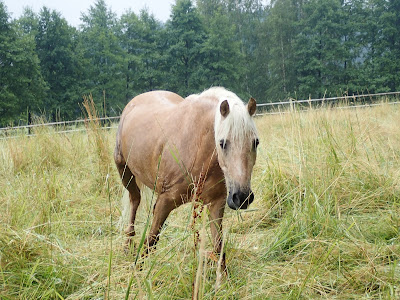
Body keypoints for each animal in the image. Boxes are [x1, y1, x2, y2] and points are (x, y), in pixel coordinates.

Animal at [115, 86, 260, 268]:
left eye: (255, 142)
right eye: (222, 143)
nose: (241, 197)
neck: (199, 148)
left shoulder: (216, 205)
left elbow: (219, 249)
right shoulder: (165, 201)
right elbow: (150, 241)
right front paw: (137, 271)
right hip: (124, 171)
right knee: (135, 201)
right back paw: (128, 243)